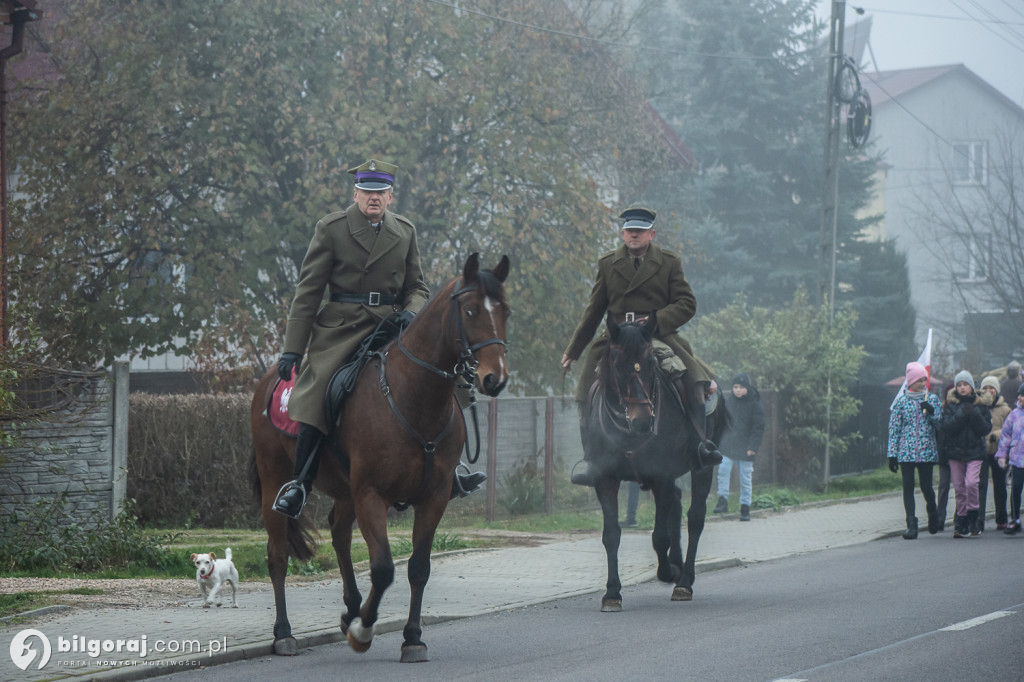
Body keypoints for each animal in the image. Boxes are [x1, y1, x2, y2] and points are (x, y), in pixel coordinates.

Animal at [248, 250, 512, 659]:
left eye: (506, 312)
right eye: (469, 311)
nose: (494, 378)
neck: (412, 396)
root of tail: (268, 379)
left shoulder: (433, 497)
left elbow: (418, 567)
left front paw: (412, 637)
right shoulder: (372, 495)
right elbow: (384, 567)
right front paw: (364, 630)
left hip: (345, 488)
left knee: (339, 533)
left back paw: (350, 608)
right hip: (276, 477)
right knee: (277, 556)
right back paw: (285, 633)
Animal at [585, 313, 729, 610]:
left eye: (651, 363)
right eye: (617, 364)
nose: (642, 421)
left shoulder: (661, 474)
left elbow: (660, 535)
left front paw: (668, 571)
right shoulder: (606, 479)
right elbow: (611, 534)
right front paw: (612, 592)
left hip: (701, 467)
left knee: (695, 518)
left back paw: (684, 580)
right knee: (676, 502)